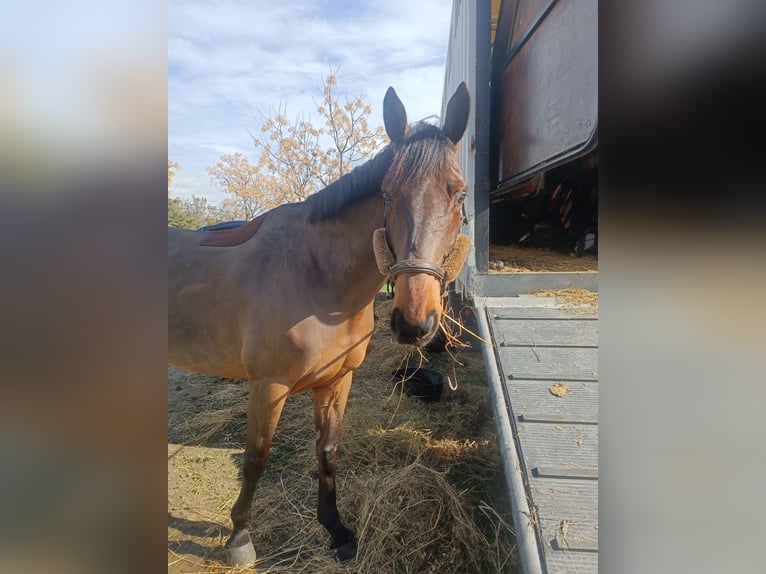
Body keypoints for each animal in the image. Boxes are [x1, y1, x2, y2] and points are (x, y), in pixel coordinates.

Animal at [169, 83, 472, 568]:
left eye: (458, 195)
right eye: (387, 194)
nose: (413, 322)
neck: (316, 272)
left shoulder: (336, 380)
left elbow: (328, 451)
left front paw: (336, 530)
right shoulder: (268, 386)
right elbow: (256, 458)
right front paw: (239, 538)